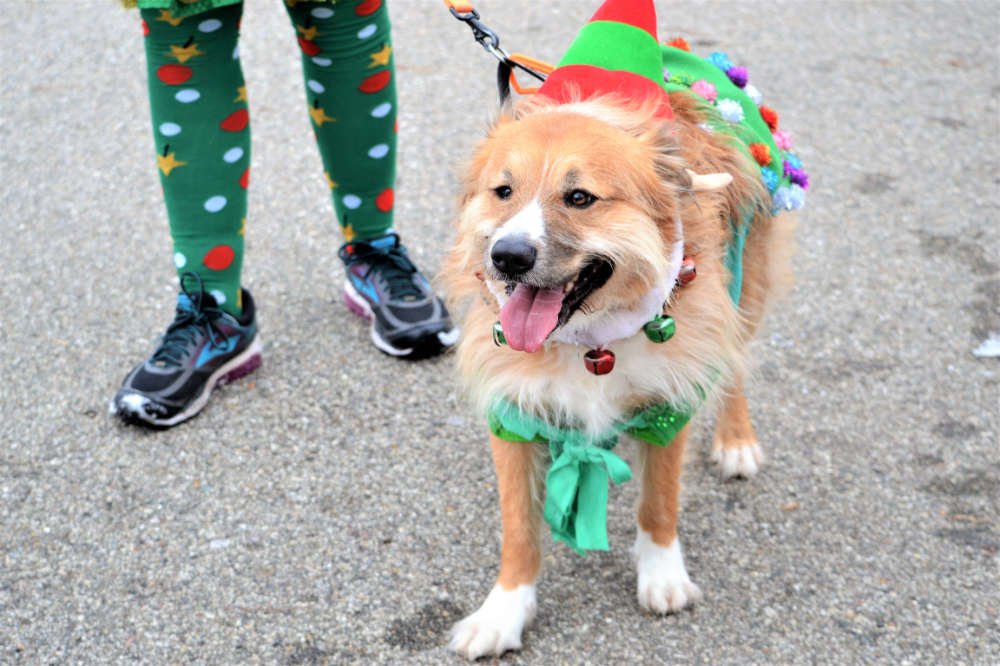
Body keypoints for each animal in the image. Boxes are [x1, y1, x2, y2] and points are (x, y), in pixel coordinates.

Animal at [442, 0, 800, 656]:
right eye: (503, 191)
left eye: (580, 197)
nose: (507, 257)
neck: (590, 339)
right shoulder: (512, 412)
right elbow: (518, 528)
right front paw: (503, 611)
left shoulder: (668, 404)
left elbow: (659, 504)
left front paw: (662, 577)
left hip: (747, 283)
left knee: (735, 362)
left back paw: (736, 439)